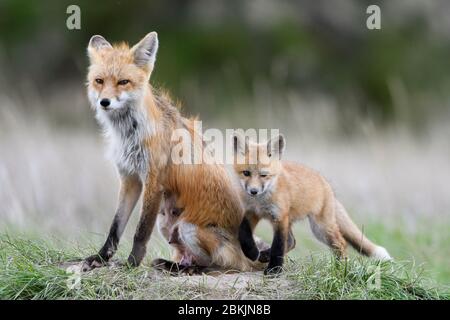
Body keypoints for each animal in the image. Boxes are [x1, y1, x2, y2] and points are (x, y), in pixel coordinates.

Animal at [234, 134, 392, 274]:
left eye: (264, 175)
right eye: (246, 173)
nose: (253, 191)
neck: (260, 201)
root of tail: (325, 182)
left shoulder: (279, 217)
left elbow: (278, 246)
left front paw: (274, 270)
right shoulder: (252, 212)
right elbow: (243, 233)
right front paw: (252, 253)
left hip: (320, 228)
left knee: (340, 242)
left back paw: (341, 269)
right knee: (292, 241)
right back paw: (265, 254)